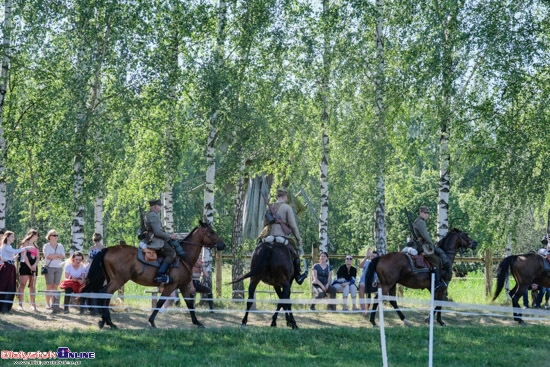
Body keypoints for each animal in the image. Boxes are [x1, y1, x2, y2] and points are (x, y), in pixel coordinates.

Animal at [80, 221, 226, 330]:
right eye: (211, 232)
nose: (223, 244)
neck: (183, 257)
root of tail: (107, 249)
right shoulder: (171, 285)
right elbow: (160, 302)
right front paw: (152, 322)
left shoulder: (183, 286)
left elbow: (190, 304)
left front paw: (197, 323)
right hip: (118, 280)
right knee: (104, 294)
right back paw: (108, 322)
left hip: (112, 280)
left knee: (104, 295)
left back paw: (107, 322)